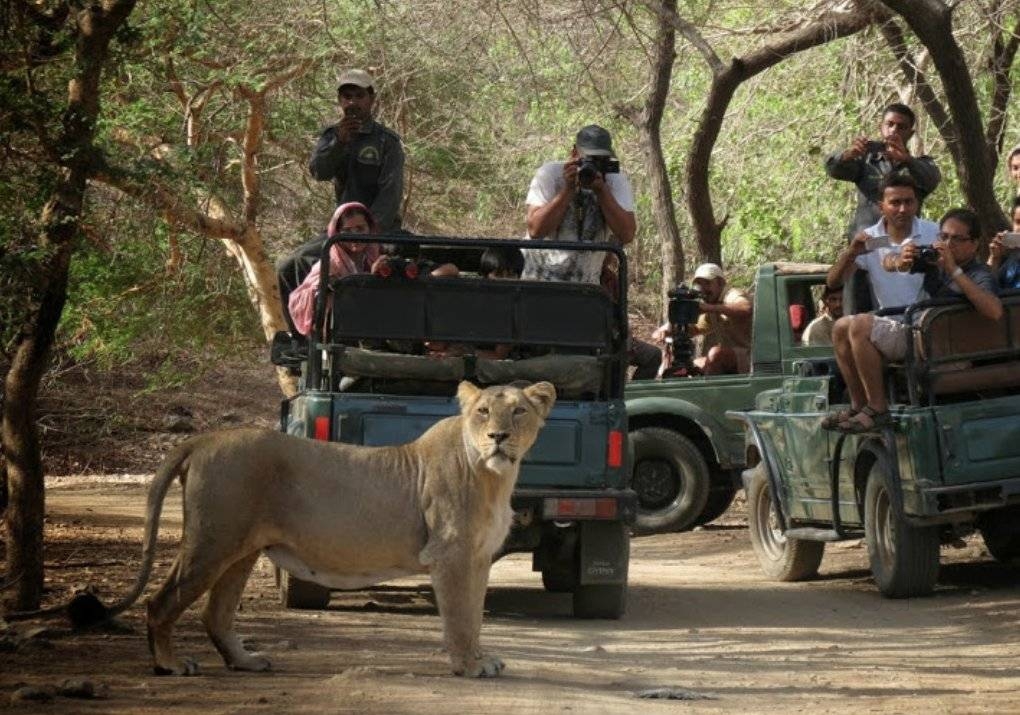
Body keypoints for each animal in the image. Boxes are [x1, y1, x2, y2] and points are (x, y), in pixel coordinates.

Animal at [86, 380, 555, 678]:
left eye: (519, 411)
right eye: (483, 412)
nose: (498, 437)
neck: (493, 476)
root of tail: (204, 439)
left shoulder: (476, 558)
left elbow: (474, 616)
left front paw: (480, 659)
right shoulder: (451, 555)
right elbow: (459, 618)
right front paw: (469, 667)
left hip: (240, 550)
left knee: (214, 613)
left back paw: (245, 661)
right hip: (211, 541)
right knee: (160, 602)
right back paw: (169, 665)